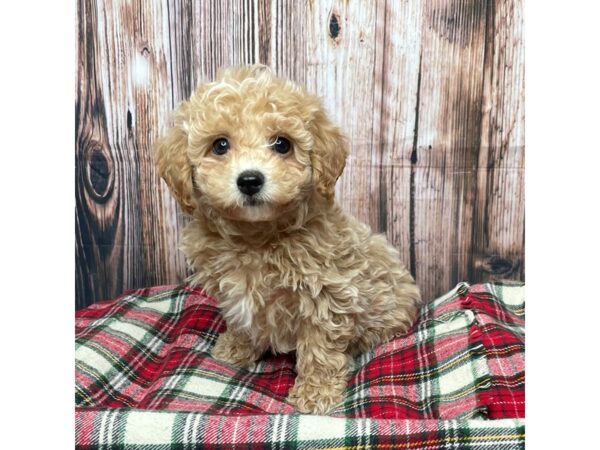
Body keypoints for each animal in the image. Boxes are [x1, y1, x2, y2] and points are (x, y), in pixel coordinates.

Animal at [155, 65, 422, 414]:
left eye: (282, 144)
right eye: (220, 145)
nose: (250, 180)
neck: (257, 238)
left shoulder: (327, 294)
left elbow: (320, 346)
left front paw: (316, 392)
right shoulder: (232, 292)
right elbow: (241, 321)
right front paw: (236, 348)